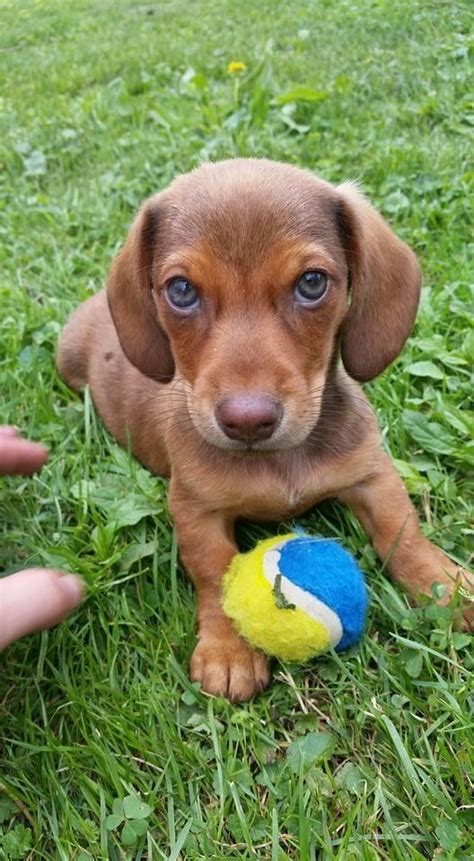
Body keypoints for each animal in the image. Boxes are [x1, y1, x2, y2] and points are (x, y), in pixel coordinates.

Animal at [57, 160, 472, 700]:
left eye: (312, 283)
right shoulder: (195, 509)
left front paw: (443, 583)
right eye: (181, 291)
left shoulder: (371, 473)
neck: (278, 462)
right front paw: (228, 649)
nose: (247, 420)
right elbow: (216, 569)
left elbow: (400, 530)